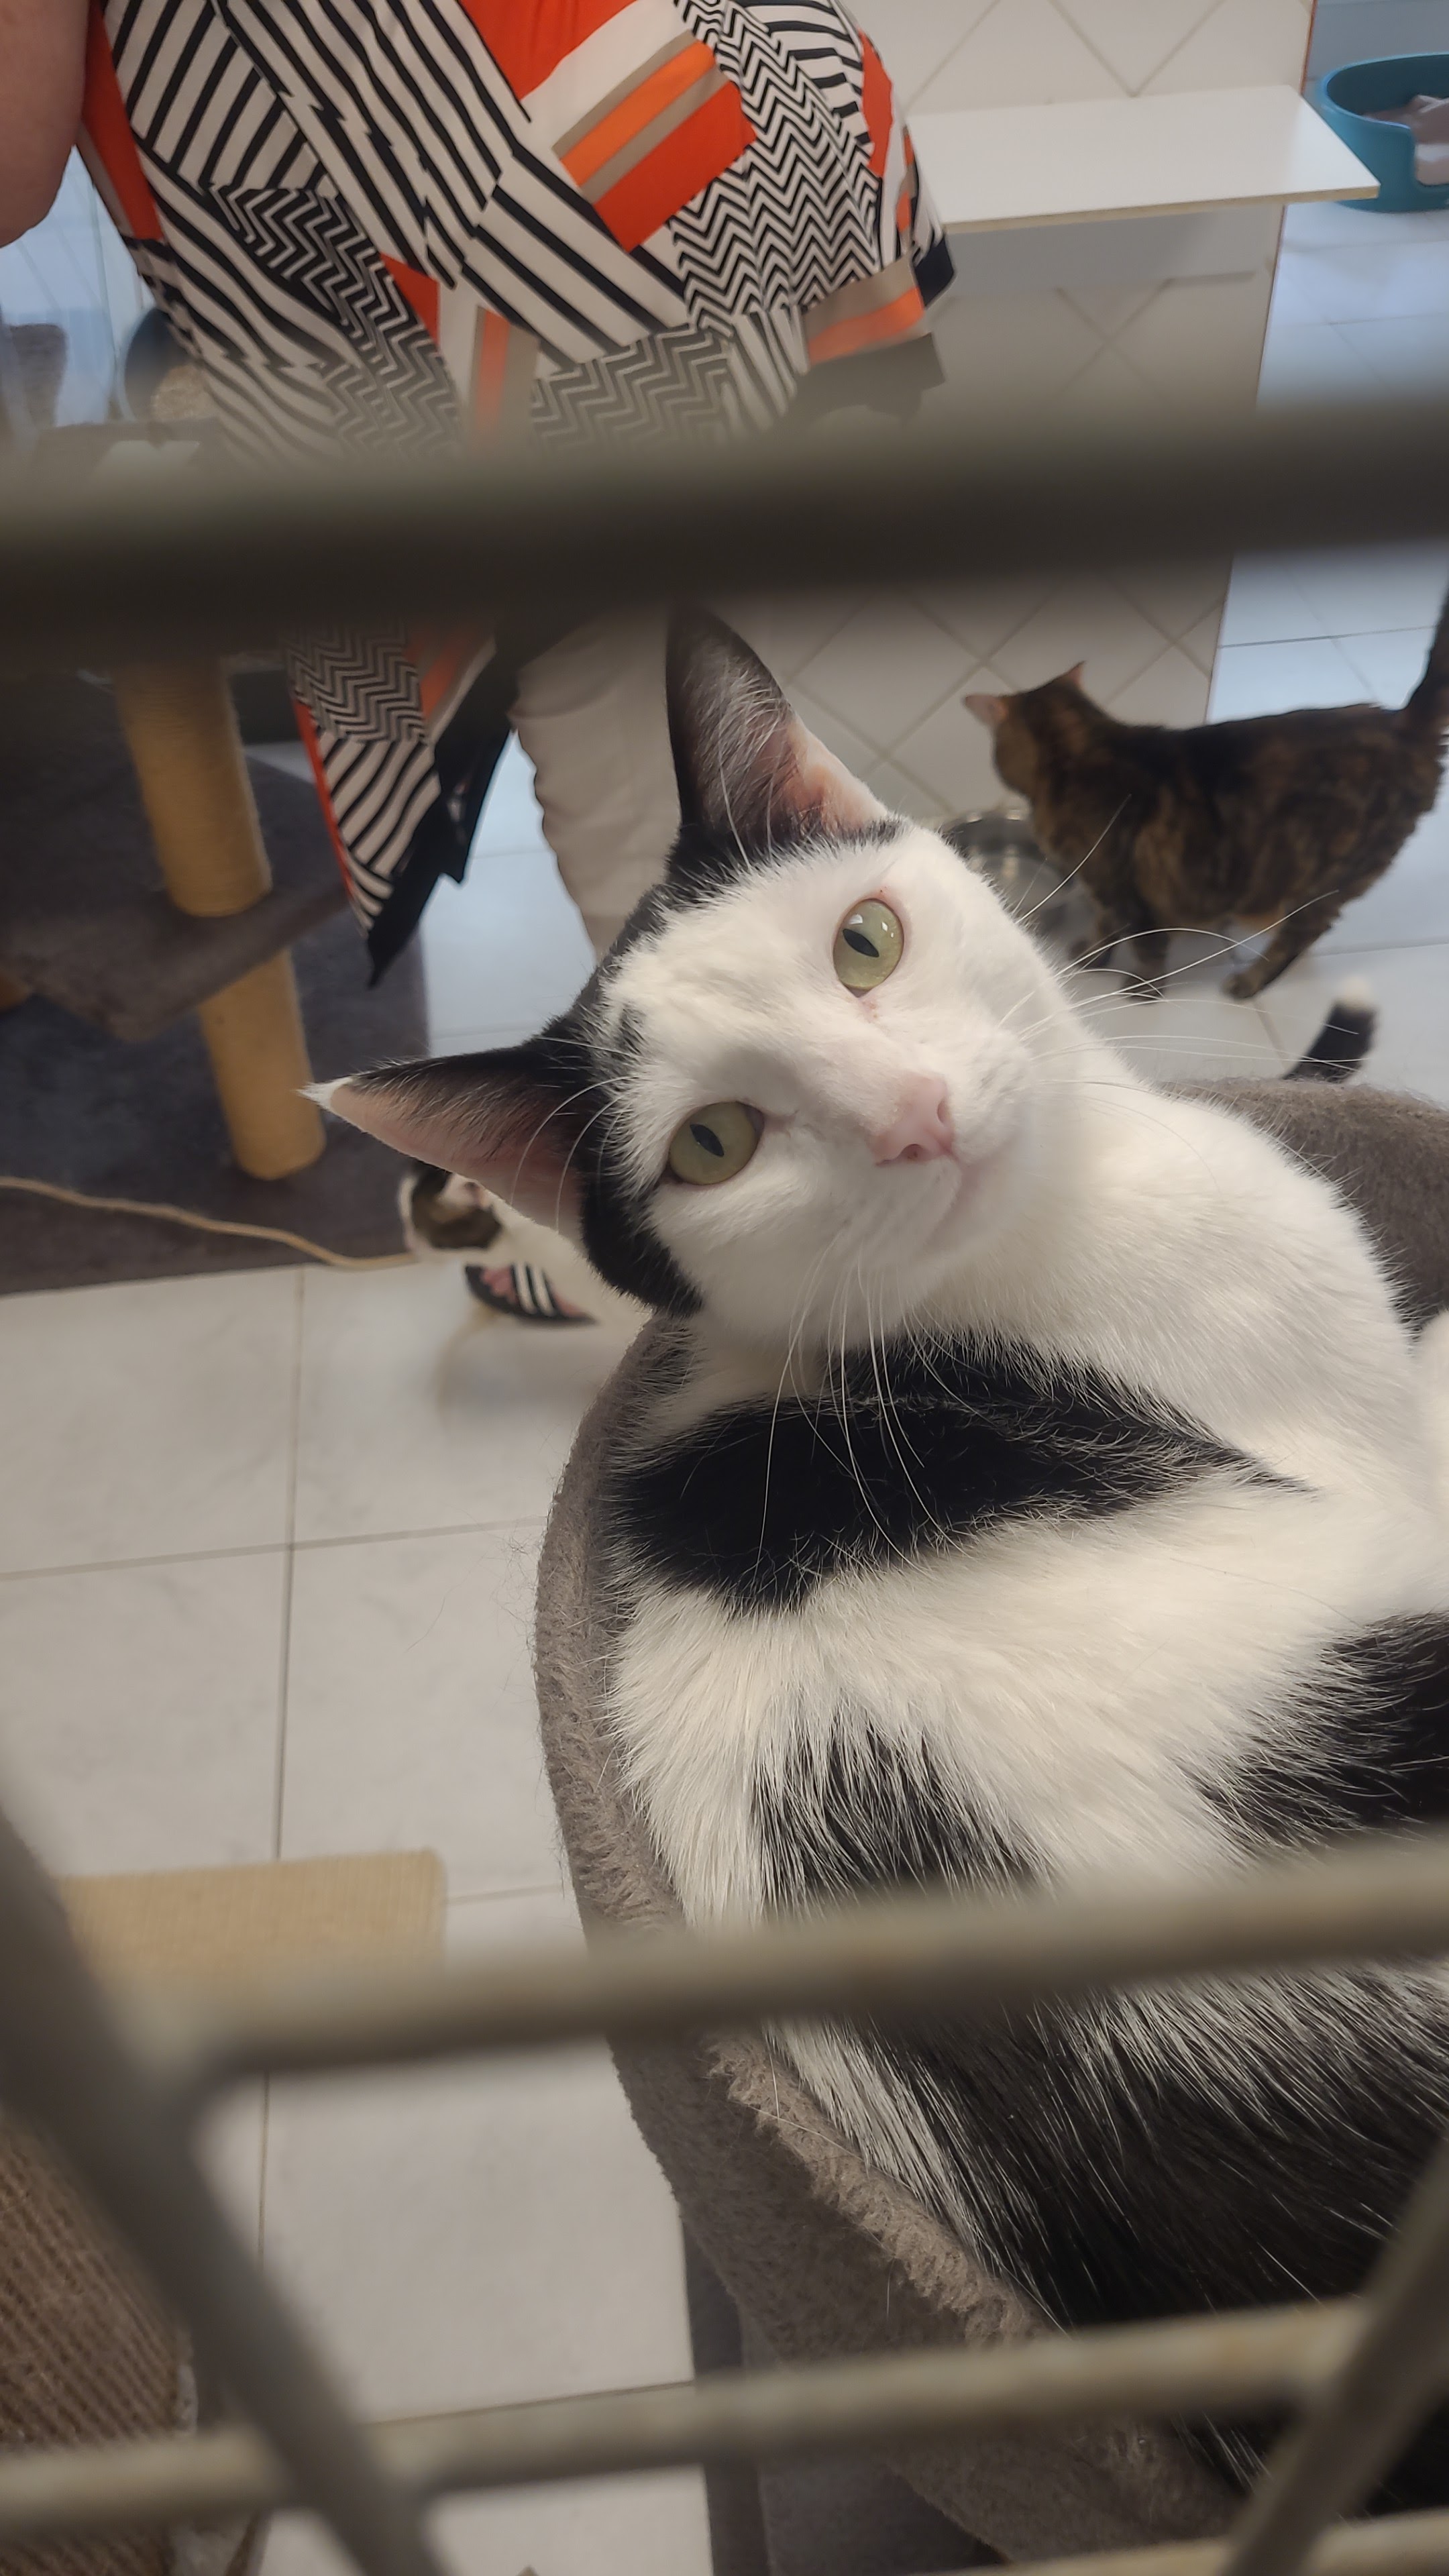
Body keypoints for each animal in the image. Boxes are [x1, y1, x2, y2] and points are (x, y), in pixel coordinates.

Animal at [964, 592, 1449, 999]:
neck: (1083, 754)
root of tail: (1402, 728)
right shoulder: (1101, 888)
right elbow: (1104, 925)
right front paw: (1091, 955)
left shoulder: (1127, 891)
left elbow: (1144, 946)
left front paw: (1140, 988)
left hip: (1322, 878)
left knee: (1301, 934)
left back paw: (1250, 981)